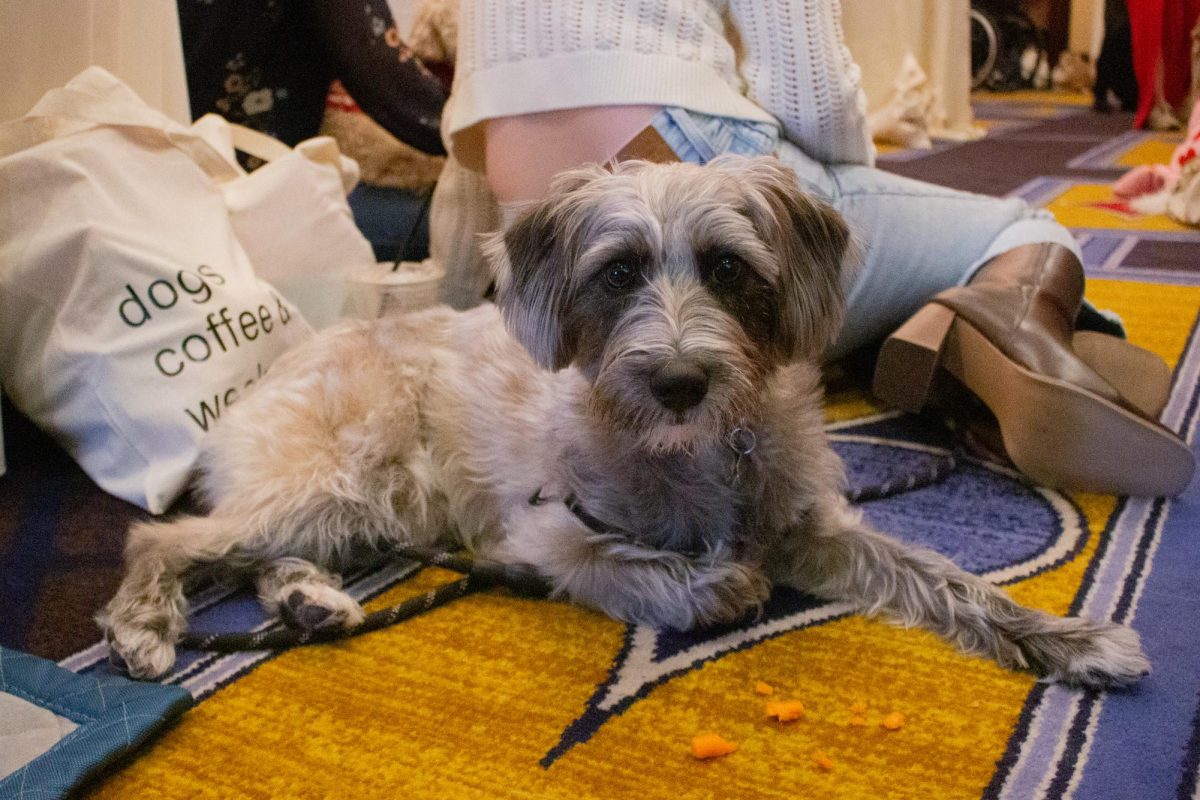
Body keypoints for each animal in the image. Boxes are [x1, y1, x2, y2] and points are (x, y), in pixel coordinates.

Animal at [98, 155, 1147, 690]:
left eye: (728, 267)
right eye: (618, 272)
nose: (681, 380)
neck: (703, 453)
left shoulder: (813, 528)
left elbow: (942, 577)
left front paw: (1061, 638)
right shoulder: (542, 533)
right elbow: (642, 567)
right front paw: (710, 585)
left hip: (358, 508)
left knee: (254, 556)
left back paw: (309, 601)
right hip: (345, 479)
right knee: (168, 538)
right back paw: (147, 625)